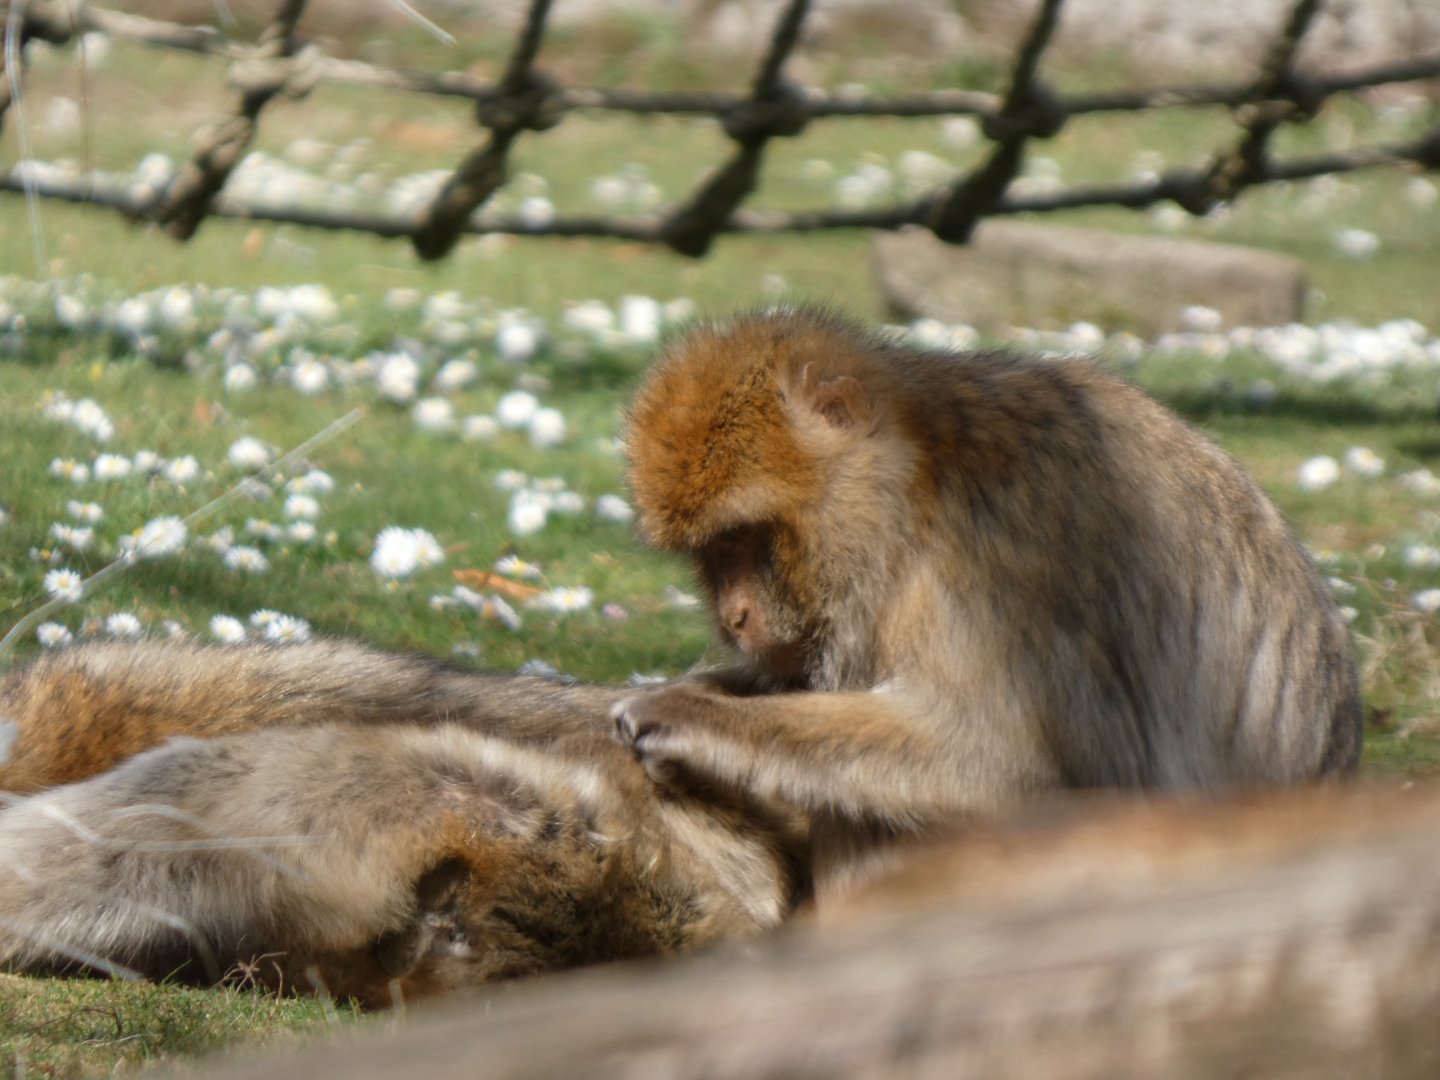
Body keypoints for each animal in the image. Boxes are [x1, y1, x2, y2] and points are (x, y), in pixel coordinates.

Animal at [613, 306, 1362, 886]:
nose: (734, 617)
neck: (918, 486)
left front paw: (691, 718)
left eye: (745, 537)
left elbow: (1011, 764)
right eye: (710, 553)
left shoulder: (996, 563)